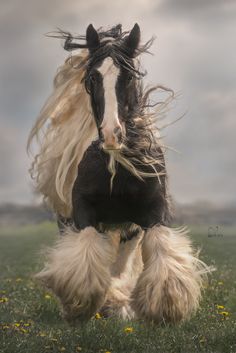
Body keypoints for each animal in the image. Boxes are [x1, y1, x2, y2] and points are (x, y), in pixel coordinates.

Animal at [27, 23, 210, 324]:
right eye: (93, 77)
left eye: (129, 76)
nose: (113, 134)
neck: (118, 168)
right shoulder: (83, 212)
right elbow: (85, 258)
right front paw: (80, 305)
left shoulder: (152, 212)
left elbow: (160, 255)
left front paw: (165, 307)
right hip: (69, 221)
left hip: (128, 230)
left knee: (122, 263)